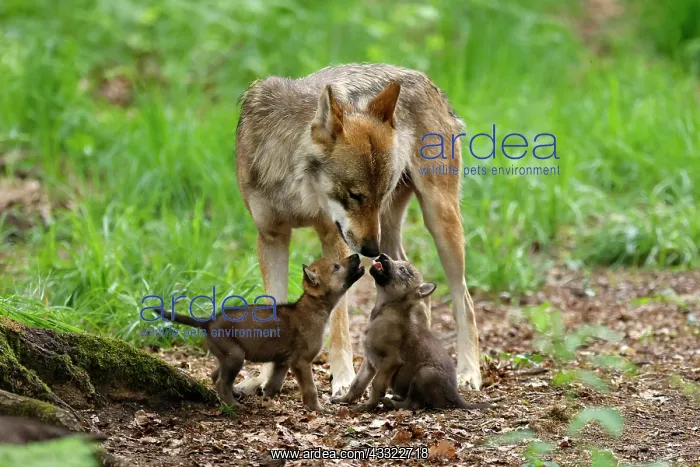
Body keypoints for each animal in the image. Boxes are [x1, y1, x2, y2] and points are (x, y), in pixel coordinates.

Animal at [235, 63, 481, 396]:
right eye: (356, 196)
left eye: (380, 193)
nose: (370, 251)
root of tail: (425, 80)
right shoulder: (271, 238)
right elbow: (271, 309)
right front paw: (263, 378)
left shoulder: (333, 239)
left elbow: (339, 324)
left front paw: (343, 380)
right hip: (392, 236)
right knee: (417, 282)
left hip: (439, 221)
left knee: (464, 299)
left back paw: (469, 372)